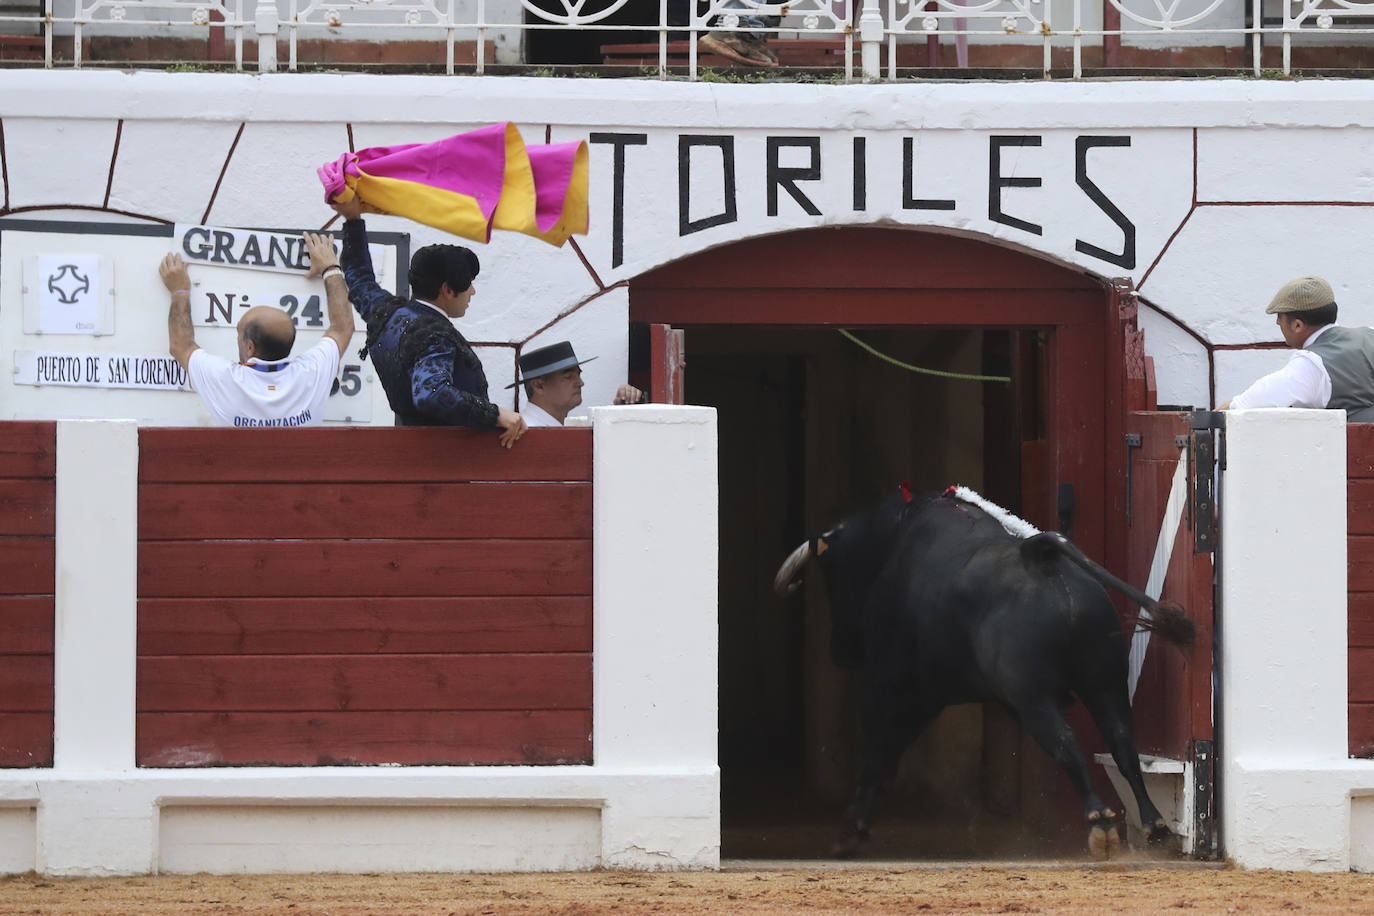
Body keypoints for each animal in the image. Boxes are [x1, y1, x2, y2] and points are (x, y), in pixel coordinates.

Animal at [780, 491, 1198, 856]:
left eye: (831, 573)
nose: (840, 650)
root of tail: (1040, 557)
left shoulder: (896, 687)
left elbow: (879, 753)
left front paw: (851, 832)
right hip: (1105, 682)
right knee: (1122, 740)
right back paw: (1153, 825)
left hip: (1033, 697)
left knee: (1065, 741)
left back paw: (1100, 821)